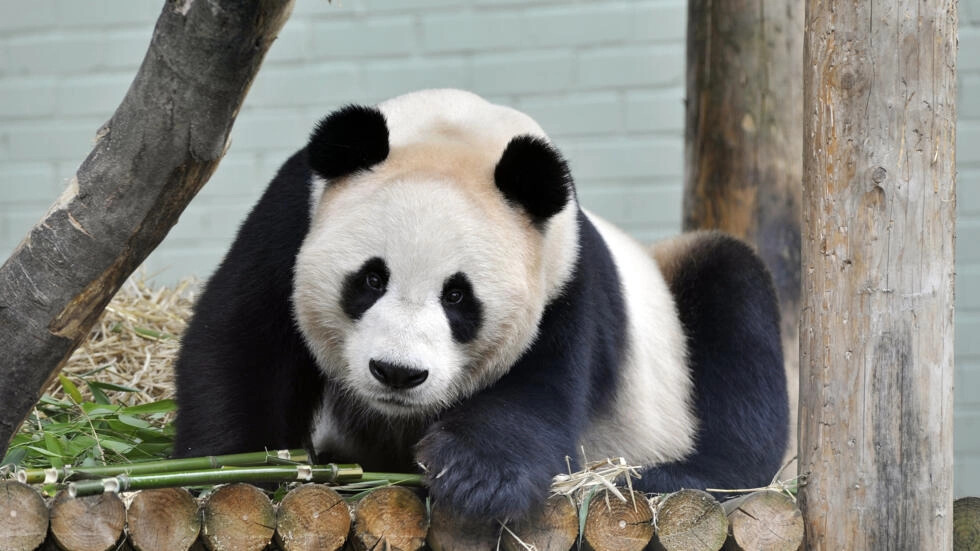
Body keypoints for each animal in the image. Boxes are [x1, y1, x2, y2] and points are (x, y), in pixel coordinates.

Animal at [173, 89, 788, 520]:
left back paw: (672, 477)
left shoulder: (563, 274)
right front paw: (232, 468)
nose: (397, 373)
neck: (457, 133)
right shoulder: (291, 218)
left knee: (736, 310)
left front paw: (476, 479)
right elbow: (242, 343)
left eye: (457, 296)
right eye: (370, 279)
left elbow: (538, 388)